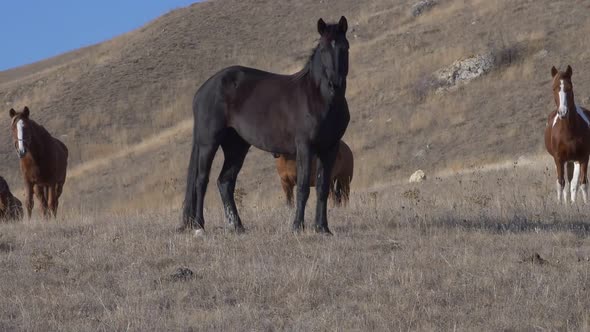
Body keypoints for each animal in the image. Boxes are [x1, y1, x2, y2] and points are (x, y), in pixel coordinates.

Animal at [183, 16, 352, 235]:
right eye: (322, 49)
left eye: (344, 48)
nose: (334, 84)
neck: (319, 98)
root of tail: (203, 90)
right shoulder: (305, 147)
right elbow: (303, 187)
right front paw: (297, 226)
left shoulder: (330, 148)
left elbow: (323, 188)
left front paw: (322, 228)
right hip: (208, 143)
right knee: (201, 181)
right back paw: (199, 226)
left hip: (236, 146)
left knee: (225, 182)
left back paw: (237, 226)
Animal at [544, 65, 590, 204]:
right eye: (554, 88)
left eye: (570, 87)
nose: (563, 112)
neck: (568, 132)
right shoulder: (559, 159)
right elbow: (560, 183)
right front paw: (560, 205)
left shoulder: (583, 158)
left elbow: (582, 183)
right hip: (564, 161)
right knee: (565, 183)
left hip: (572, 161)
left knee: (573, 183)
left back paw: (572, 202)